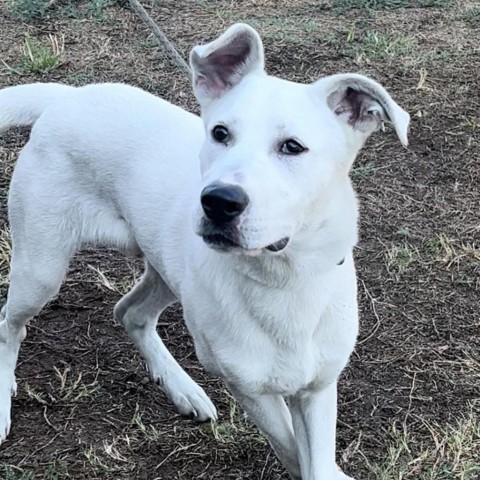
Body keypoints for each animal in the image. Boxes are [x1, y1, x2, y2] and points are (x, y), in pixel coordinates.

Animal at [0, 25, 408, 480]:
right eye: (220, 133)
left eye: (292, 146)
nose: (218, 201)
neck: (284, 278)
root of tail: (68, 97)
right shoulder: (249, 389)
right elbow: (290, 449)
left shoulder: (318, 388)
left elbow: (316, 460)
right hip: (41, 269)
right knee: (9, 323)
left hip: (165, 269)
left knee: (130, 312)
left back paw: (183, 389)